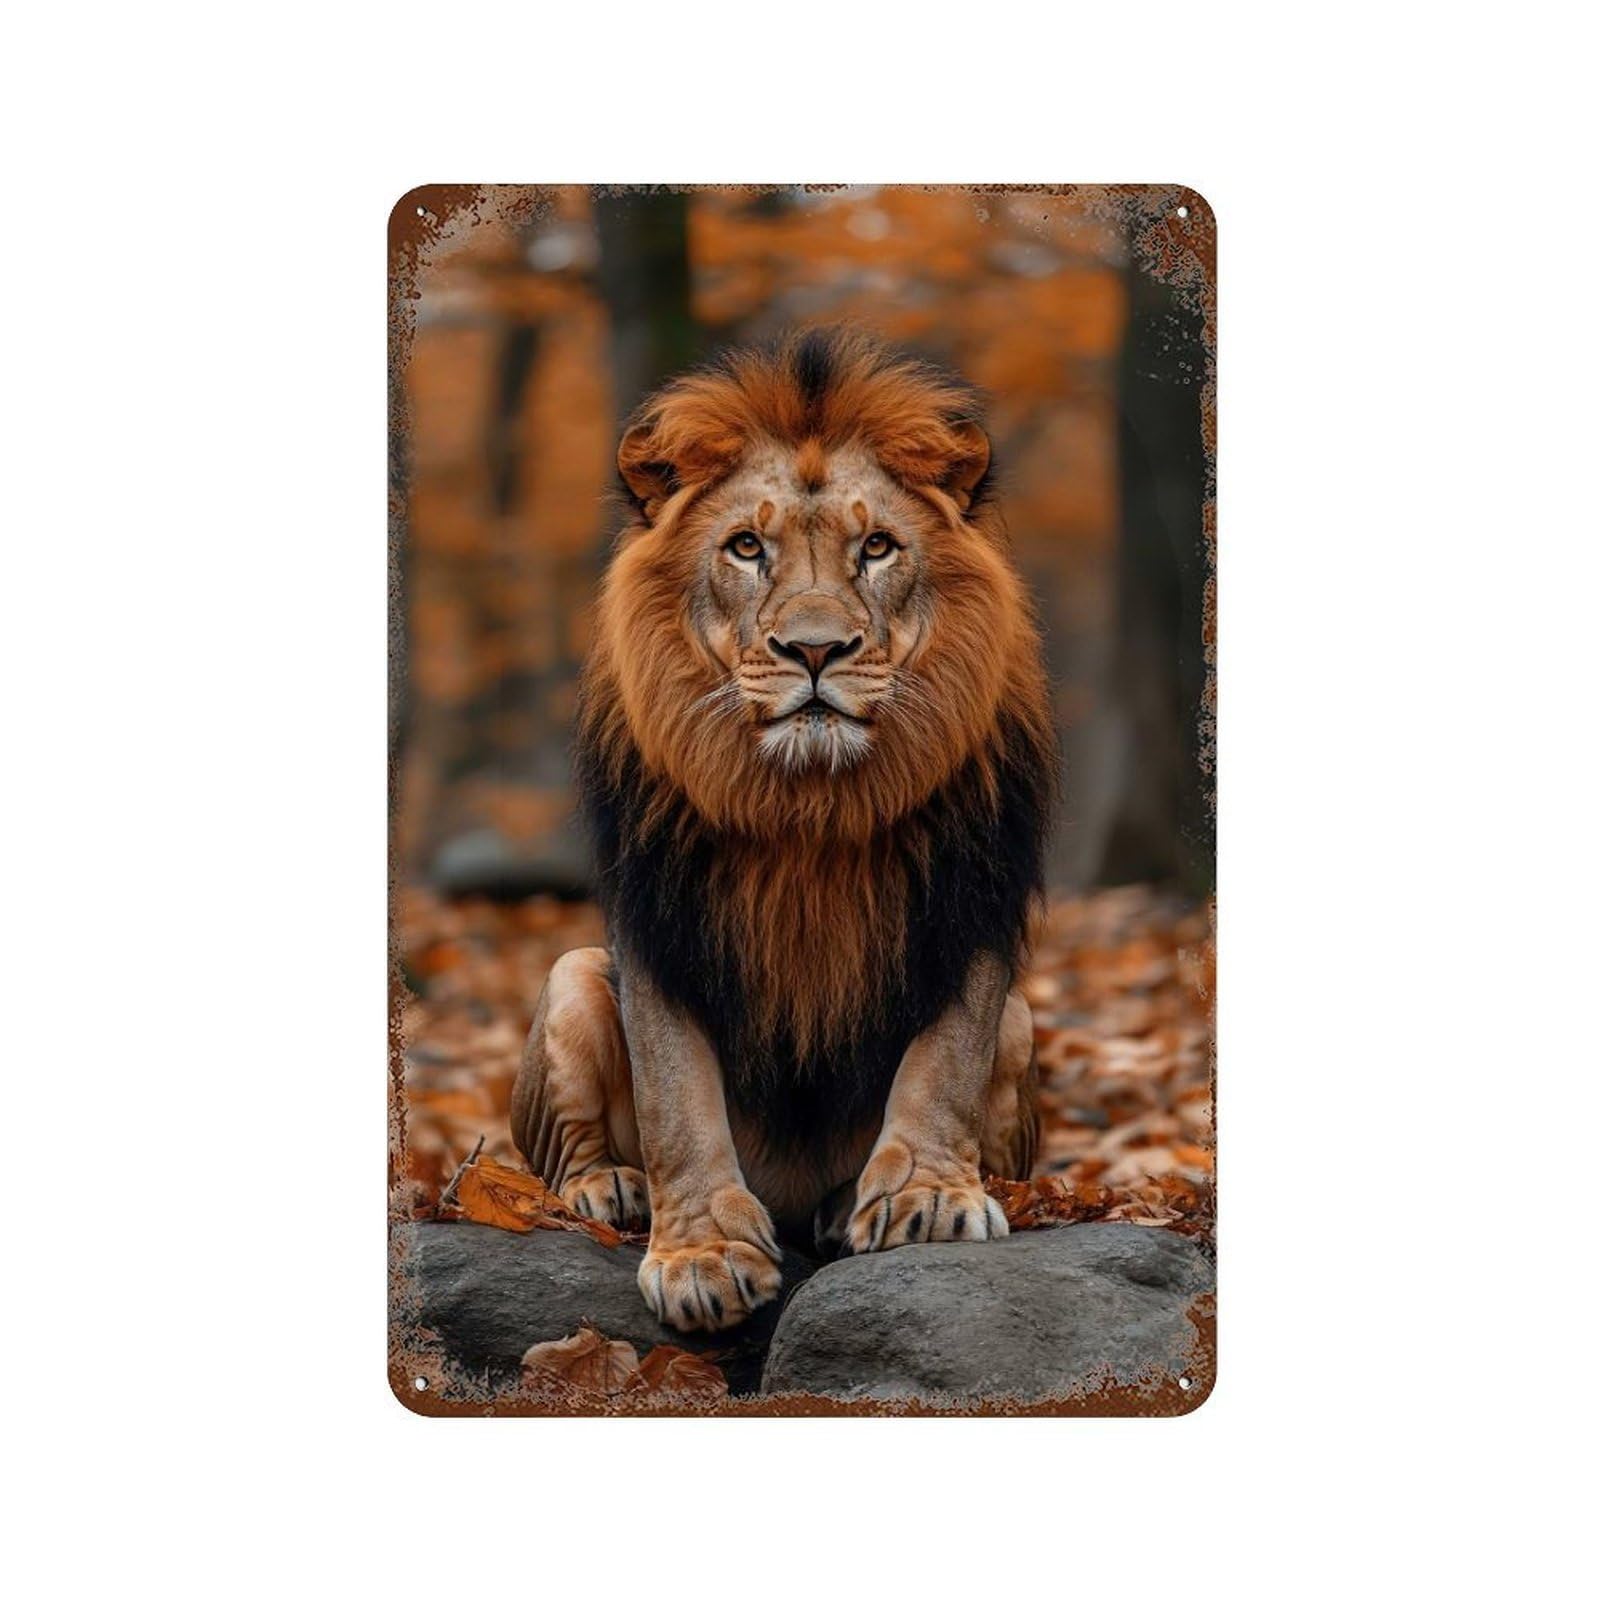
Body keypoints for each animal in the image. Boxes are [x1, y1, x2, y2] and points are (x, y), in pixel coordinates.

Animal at [511, 327, 1056, 1332]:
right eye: (745, 547)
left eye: (877, 546)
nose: (814, 650)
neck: (810, 805)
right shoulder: (661, 914)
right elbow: (677, 1098)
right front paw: (701, 1254)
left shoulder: (970, 899)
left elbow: (944, 1063)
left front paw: (924, 1198)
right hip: (571, 976)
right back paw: (610, 1187)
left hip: (1025, 1019)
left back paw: (848, 1207)